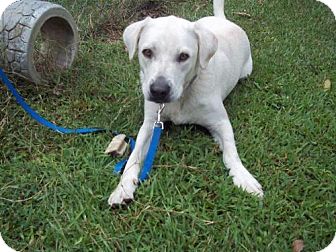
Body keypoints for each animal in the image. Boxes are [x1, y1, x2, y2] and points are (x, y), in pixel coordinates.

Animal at [109, 0, 264, 205]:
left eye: (183, 56)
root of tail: (222, 20)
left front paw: (244, 177)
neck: (183, 95)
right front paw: (123, 187)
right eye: (147, 52)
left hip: (246, 71)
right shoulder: (150, 124)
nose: (159, 91)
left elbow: (231, 152)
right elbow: (134, 157)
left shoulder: (221, 122)